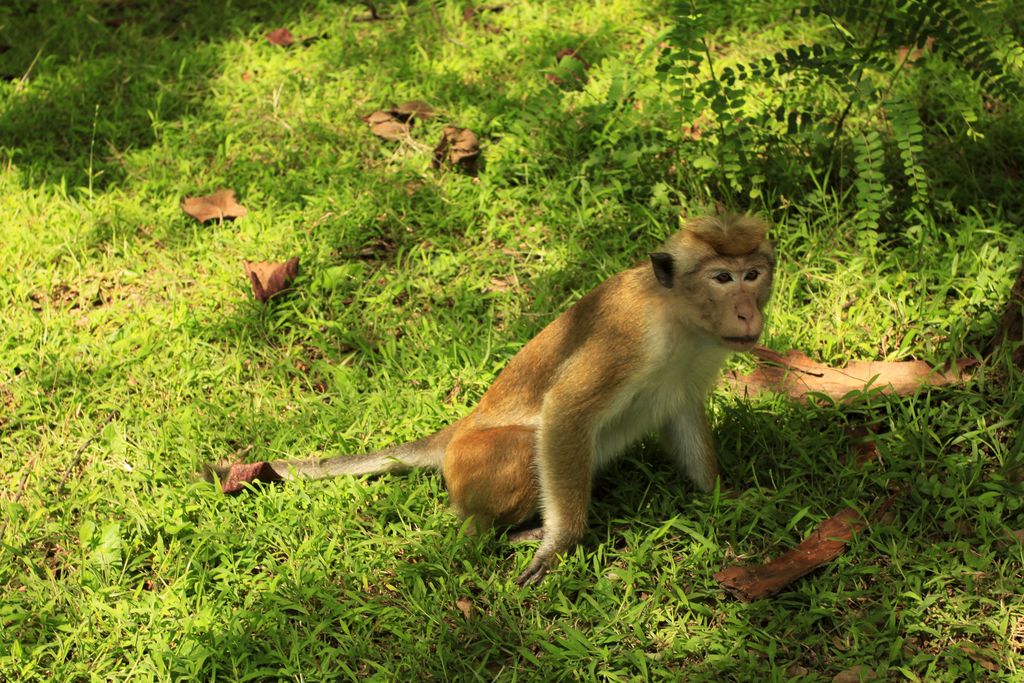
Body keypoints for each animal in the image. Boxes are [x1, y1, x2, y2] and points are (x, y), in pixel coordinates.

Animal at [203, 210, 770, 585]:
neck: (678, 317)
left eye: (753, 274)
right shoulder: (629, 338)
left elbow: (682, 413)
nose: (747, 312)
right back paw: (490, 533)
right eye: (722, 277)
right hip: (471, 463)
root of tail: (455, 432)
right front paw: (560, 544)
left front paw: (723, 495)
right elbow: (566, 412)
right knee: (516, 457)